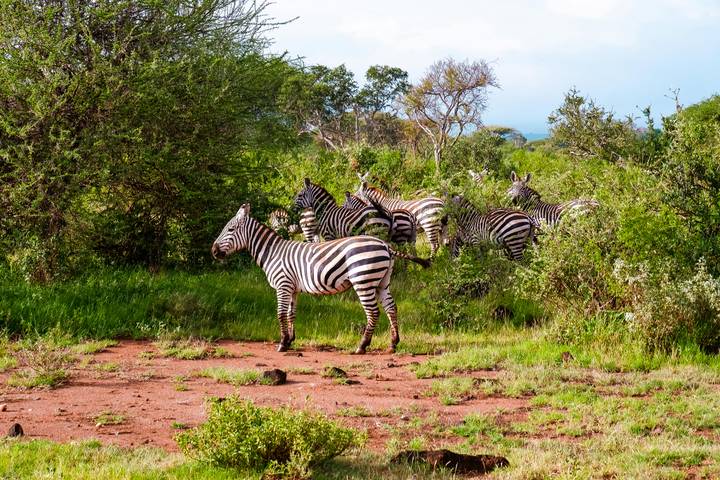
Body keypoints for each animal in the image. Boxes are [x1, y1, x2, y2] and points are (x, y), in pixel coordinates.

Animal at [211, 204, 429, 353]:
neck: (272, 253)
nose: (213, 251)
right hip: (382, 282)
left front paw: (282, 344)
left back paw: (362, 346)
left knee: (373, 312)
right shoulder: (292, 288)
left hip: (363, 280)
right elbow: (290, 314)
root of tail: (384, 245)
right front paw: (290, 340)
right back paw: (393, 343)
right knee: (391, 308)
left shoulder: (282, 285)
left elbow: (280, 314)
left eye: (230, 230)